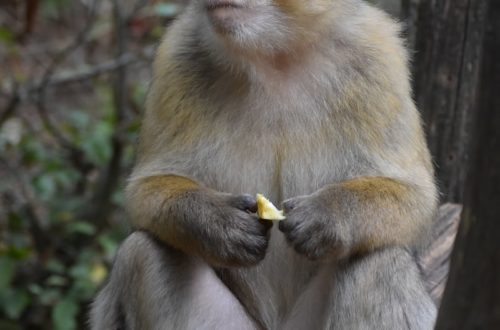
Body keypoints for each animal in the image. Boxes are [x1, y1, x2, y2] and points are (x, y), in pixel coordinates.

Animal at [90, 0, 438, 328]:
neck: (276, 55)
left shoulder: (377, 54)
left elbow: (416, 200)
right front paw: (217, 223)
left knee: (378, 262)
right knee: (143, 253)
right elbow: (144, 192)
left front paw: (327, 215)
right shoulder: (177, 54)